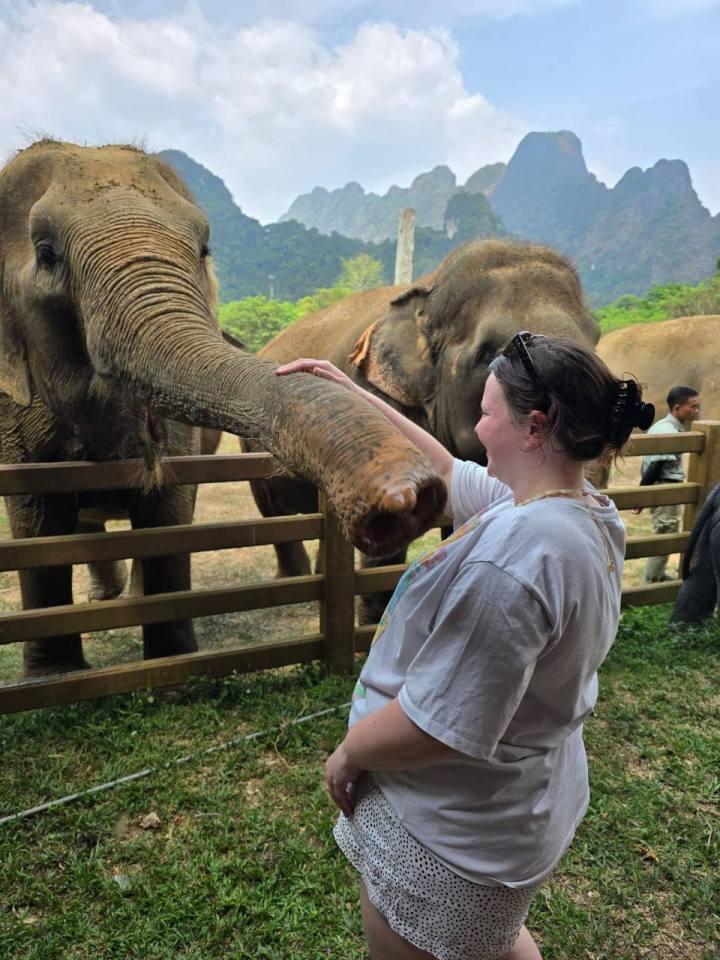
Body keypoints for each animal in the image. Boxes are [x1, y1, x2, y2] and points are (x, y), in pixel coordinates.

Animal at [0, 139, 448, 680]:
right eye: (46, 254)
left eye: (203, 251)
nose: (408, 499)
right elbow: (37, 518)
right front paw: (57, 677)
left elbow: (169, 506)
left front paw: (172, 673)